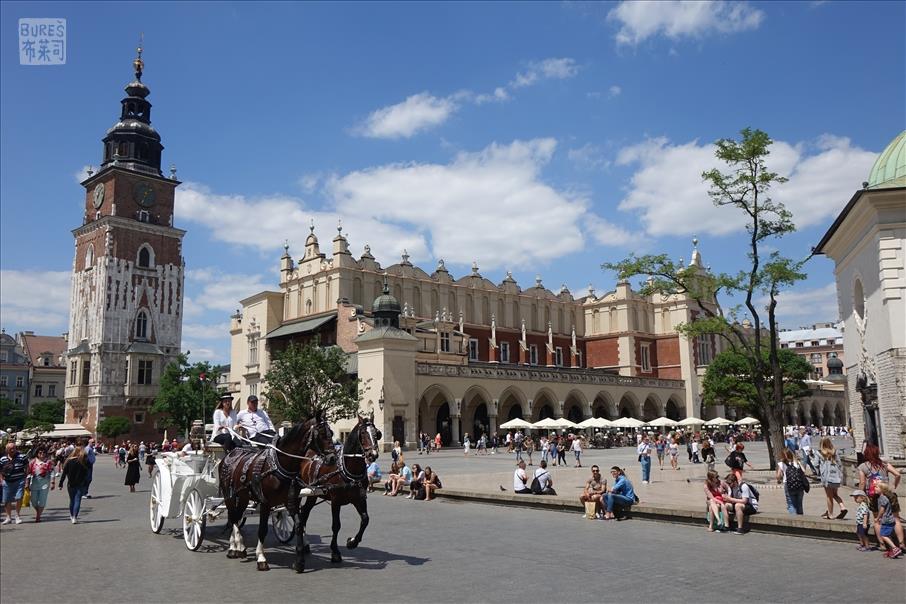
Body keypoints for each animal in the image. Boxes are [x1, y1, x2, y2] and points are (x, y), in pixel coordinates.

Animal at [217, 412, 334, 572]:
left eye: (332, 433)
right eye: (321, 434)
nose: (333, 457)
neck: (280, 465)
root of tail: (232, 452)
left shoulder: (291, 502)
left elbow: (299, 525)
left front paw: (299, 561)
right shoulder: (265, 503)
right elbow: (263, 529)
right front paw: (261, 558)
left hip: (243, 496)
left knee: (236, 515)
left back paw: (236, 547)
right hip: (228, 494)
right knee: (234, 517)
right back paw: (236, 547)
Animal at [294, 412, 380, 572]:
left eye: (377, 433)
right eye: (363, 433)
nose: (373, 455)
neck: (348, 469)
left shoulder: (359, 498)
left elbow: (365, 519)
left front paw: (352, 542)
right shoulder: (336, 501)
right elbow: (336, 526)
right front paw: (335, 552)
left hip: (312, 494)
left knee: (303, 515)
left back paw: (305, 544)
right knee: (300, 515)